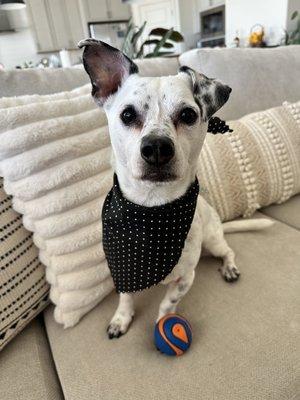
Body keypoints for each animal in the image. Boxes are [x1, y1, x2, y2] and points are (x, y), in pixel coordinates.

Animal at [78, 39, 274, 340]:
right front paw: (121, 318)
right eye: (127, 114)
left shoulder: (185, 279)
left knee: (228, 250)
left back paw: (229, 267)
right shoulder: (122, 269)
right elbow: (125, 296)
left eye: (188, 115)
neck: (152, 210)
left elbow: (167, 303)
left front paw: (163, 323)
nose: (157, 147)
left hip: (213, 241)